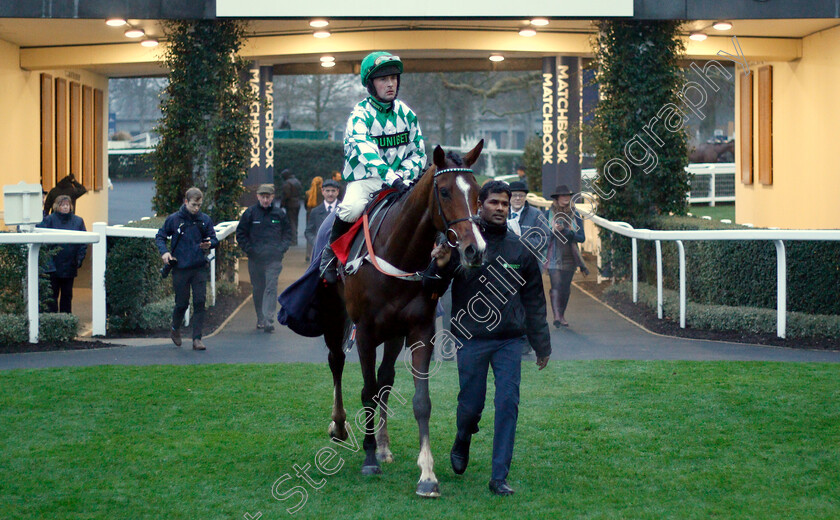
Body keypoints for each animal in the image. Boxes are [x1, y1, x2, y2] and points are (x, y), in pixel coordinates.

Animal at [320, 140, 486, 498]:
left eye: (478, 191)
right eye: (444, 191)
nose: (474, 249)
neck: (398, 252)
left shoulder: (419, 330)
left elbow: (419, 401)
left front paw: (427, 475)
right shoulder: (365, 332)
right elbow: (367, 391)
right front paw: (369, 459)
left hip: (394, 333)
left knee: (385, 379)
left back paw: (383, 445)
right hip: (335, 315)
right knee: (337, 361)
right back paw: (339, 425)